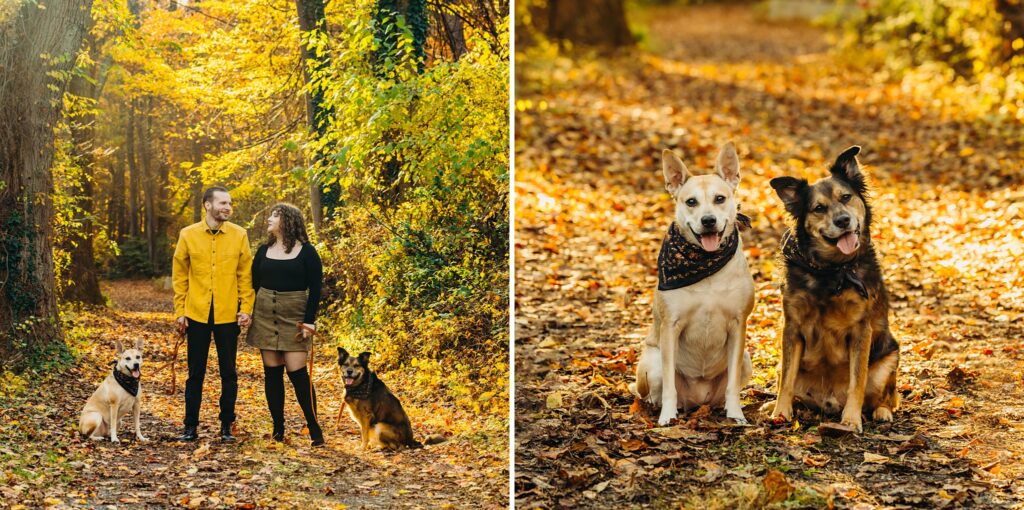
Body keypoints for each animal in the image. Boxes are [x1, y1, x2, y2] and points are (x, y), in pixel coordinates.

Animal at [626, 143, 757, 426]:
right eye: (691, 202)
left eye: (720, 198)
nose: (708, 220)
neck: (706, 265)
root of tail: (698, 401)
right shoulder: (670, 326)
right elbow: (669, 385)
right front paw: (666, 417)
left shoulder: (738, 324)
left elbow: (732, 385)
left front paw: (736, 414)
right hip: (652, 361)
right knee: (655, 391)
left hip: (745, 359)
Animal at [765, 145, 901, 432]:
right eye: (818, 208)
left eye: (846, 197)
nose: (842, 220)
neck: (831, 270)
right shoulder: (791, 327)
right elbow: (786, 379)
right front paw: (780, 412)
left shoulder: (861, 329)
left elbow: (857, 381)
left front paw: (851, 420)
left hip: (890, 356)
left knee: (887, 396)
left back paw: (882, 412)